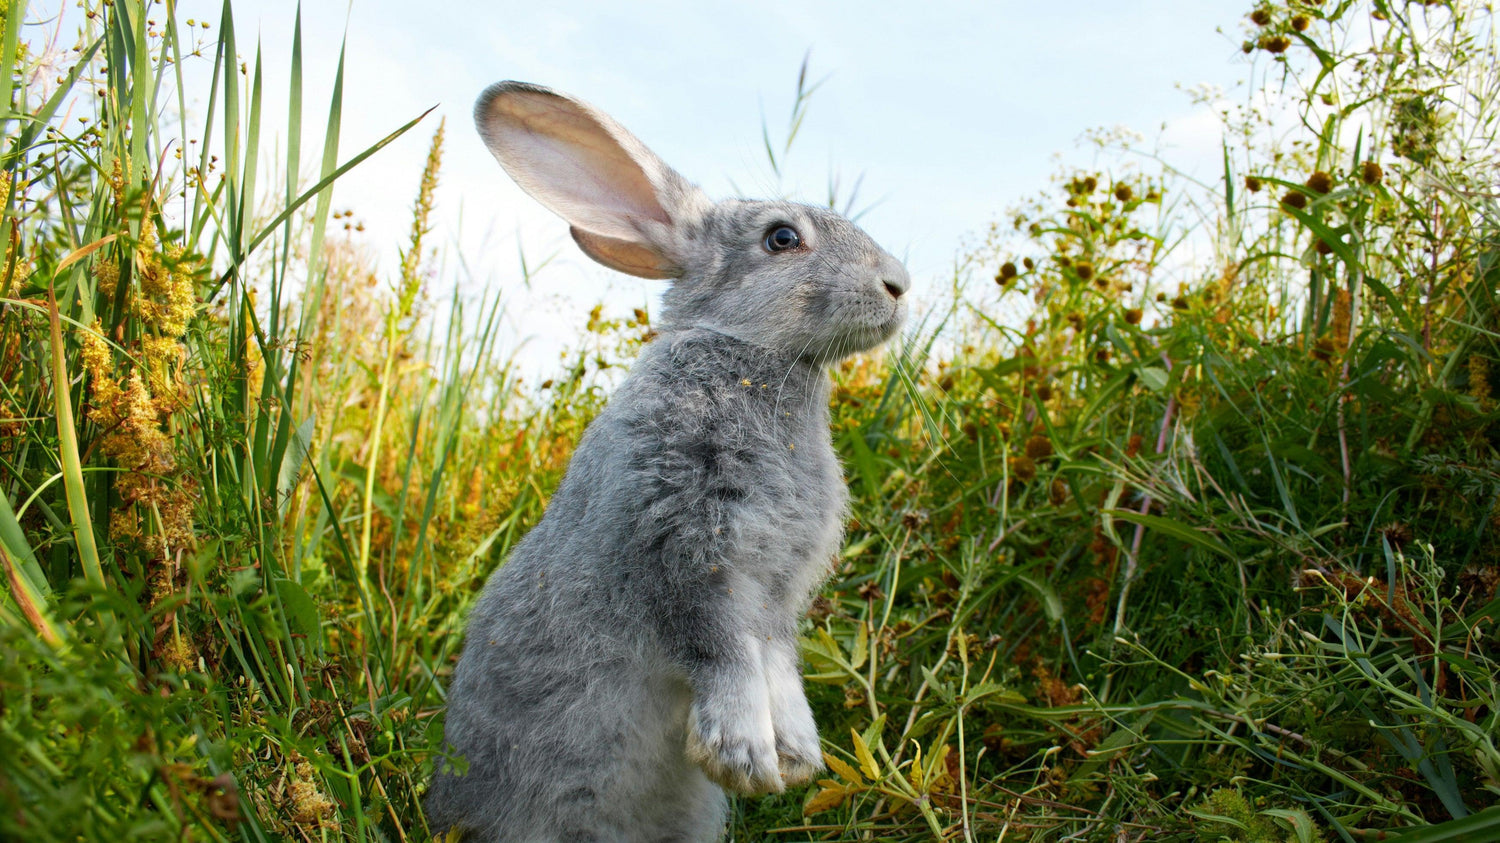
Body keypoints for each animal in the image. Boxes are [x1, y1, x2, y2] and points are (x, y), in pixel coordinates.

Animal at [425, 81, 909, 843]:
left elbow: (776, 661)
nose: (898, 284)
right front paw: (744, 756)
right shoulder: (680, 544)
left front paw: (797, 756)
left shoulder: (777, 593)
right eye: (781, 238)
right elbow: (722, 650)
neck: (751, 357)